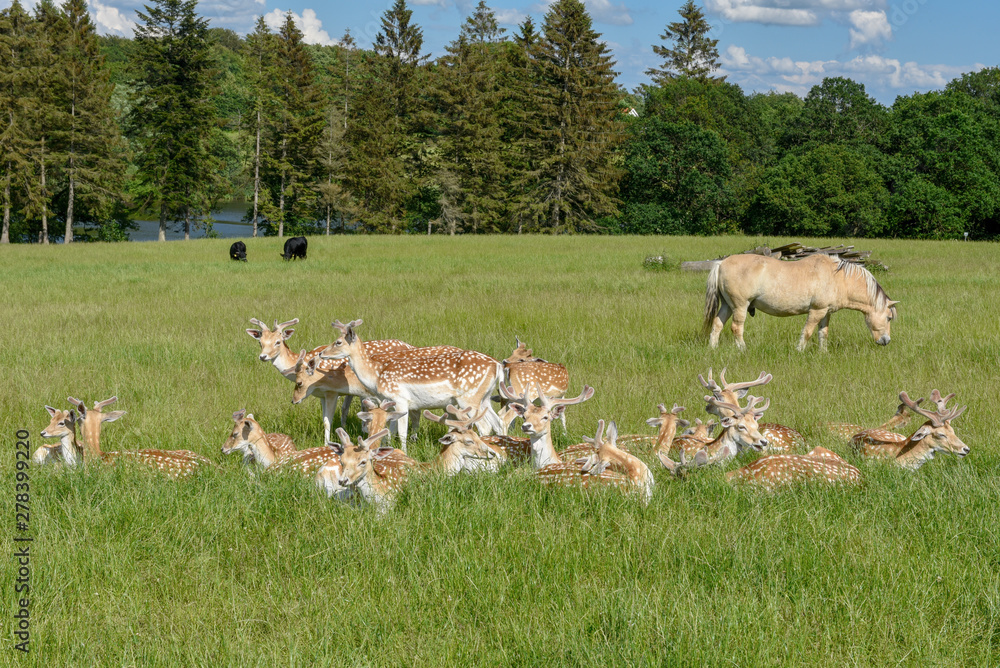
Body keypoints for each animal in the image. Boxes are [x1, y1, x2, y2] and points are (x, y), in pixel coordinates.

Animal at [246, 317, 412, 441]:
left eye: (278, 342)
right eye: (260, 342)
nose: (263, 356)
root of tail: (409, 345)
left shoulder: (334, 391)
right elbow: (340, 412)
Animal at [318, 319, 504, 449]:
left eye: (338, 342)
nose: (321, 353)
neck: (377, 376)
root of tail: (497, 365)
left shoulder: (401, 399)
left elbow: (401, 433)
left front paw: (404, 453)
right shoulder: (391, 402)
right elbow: (390, 430)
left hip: (469, 397)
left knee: (485, 426)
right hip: (484, 398)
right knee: (498, 422)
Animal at [703, 254, 898, 351]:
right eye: (889, 318)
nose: (886, 340)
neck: (838, 278)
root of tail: (721, 263)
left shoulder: (825, 312)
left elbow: (823, 333)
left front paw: (823, 353)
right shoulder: (816, 311)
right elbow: (808, 332)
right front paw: (799, 351)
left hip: (728, 306)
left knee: (717, 324)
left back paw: (713, 348)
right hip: (740, 306)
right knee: (736, 328)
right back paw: (743, 350)